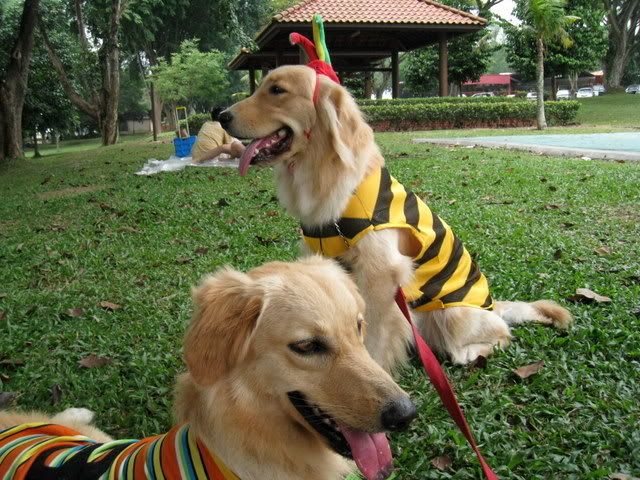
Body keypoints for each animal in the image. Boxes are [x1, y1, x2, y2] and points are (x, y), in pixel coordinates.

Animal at [219, 65, 572, 372]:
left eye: (277, 90)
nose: (219, 115)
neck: (324, 175)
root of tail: (490, 303)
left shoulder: (381, 274)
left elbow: (374, 334)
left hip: (451, 317)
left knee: (499, 332)